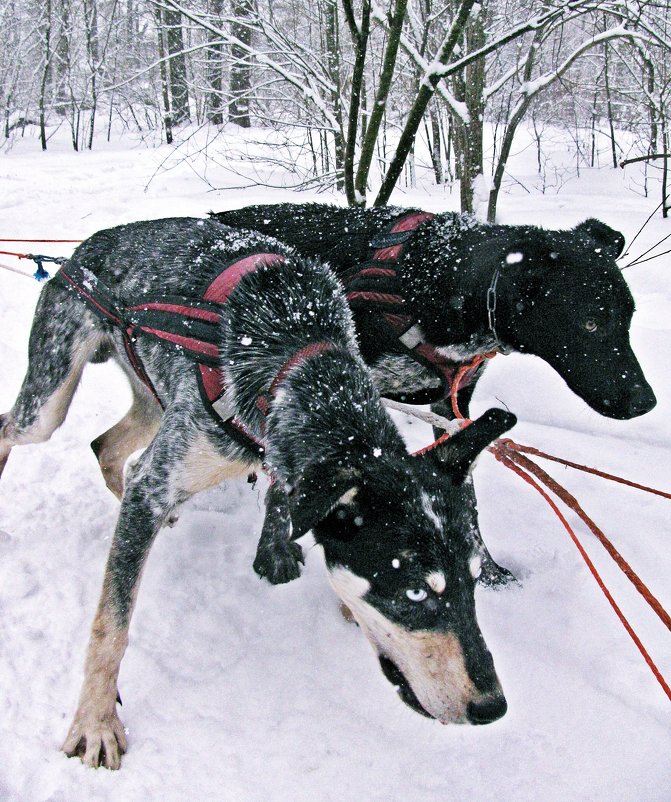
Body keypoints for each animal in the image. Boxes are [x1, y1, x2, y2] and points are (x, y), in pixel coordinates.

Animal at [0, 216, 516, 764]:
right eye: (415, 591)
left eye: (473, 582)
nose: (492, 707)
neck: (295, 354)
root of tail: (86, 246)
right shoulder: (158, 484)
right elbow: (110, 625)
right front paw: (95, 720)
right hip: (49, 405)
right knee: (14, 427)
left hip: (154, 407)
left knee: (109, 449)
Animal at [214, 203, 656, 580]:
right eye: (590, 323)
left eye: (629, 317)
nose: (646, 401)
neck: (438, 282)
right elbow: (285, 487)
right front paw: (273, 556)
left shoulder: (452, 409)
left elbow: (467, 500)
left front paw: (487, 569)